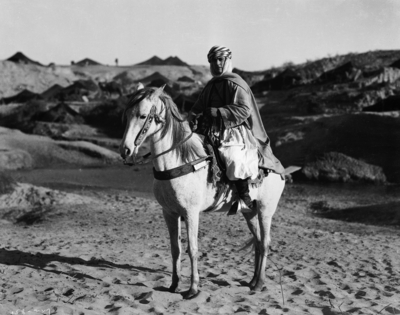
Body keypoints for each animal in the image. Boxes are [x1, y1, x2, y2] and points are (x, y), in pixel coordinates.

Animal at [119, 86, 284, 298]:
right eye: (127, 115)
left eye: (142, 115)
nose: (125, 150)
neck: (178, 161)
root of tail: (279, 168)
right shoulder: (169, 213)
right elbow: (175, 249)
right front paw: (174, 285)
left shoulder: (191, 213)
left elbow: (192, 249)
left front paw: (193, 288)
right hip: (250, 212)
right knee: (257, 242)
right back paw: (253, 280)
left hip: (265, 211)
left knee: (264, 243)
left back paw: (260, 283)